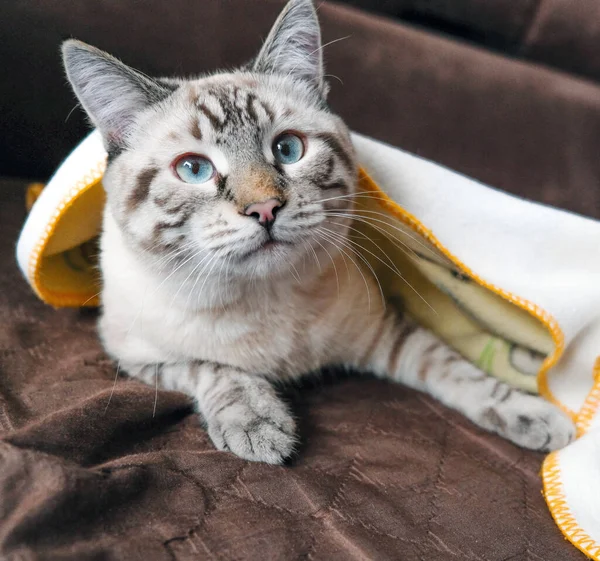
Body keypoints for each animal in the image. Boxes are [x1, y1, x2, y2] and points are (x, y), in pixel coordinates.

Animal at [62, 0, 576, 464]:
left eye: (288, 149)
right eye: (194, 169)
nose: (264, 208)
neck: (265, 299)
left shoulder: (383, 330)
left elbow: (455, 369)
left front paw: (535, 417)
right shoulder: (135, 354)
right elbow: (215, 368)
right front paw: (259, 425)